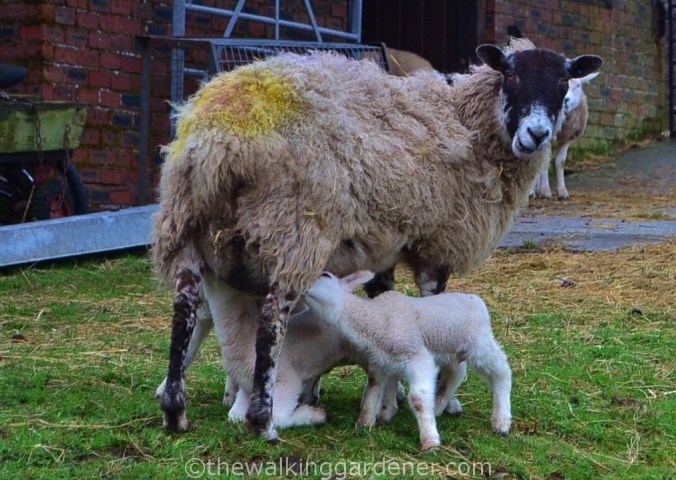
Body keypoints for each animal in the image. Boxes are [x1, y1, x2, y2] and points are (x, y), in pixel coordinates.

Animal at [302, 270, 512, 451]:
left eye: (325, 275)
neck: (373, 318)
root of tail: (476, 299)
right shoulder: (382, 360)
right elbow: (374, 386)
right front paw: (367, 422)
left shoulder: (416, 355)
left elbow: (418, 400)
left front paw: (430, 441)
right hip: (451, 349)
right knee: (457, 372)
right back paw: (438, 406)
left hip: (479, 343)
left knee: (501, 371)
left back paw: (501, 422)